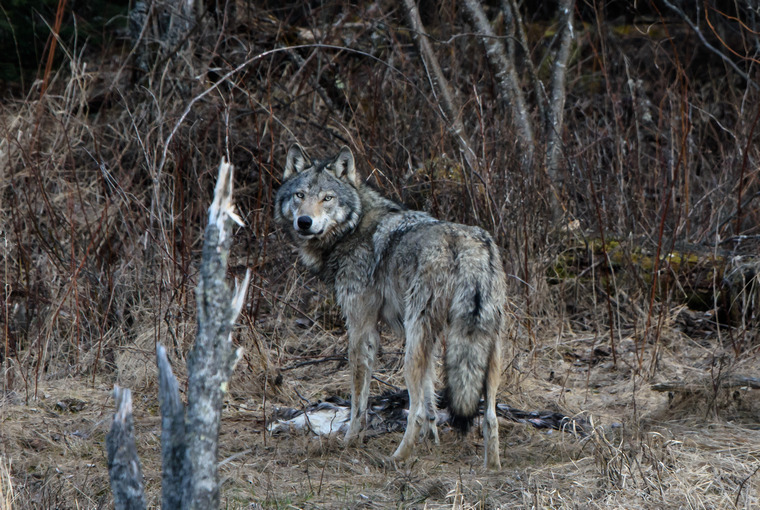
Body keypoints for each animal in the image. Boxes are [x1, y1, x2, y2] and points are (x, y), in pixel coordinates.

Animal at [276, 141, 508, 468]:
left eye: (327, 198)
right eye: (300, 195)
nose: (304, 222)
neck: (354, 227)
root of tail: (468, 244)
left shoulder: (361, 330)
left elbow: (359, 401)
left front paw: (350, 441)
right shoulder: (431, 342)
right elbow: (431, 400)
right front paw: (432, 442)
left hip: (413, 343)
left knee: (415, 410)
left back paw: (396, 458)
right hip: (486, 345)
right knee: (489, 416)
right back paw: (492, 465)